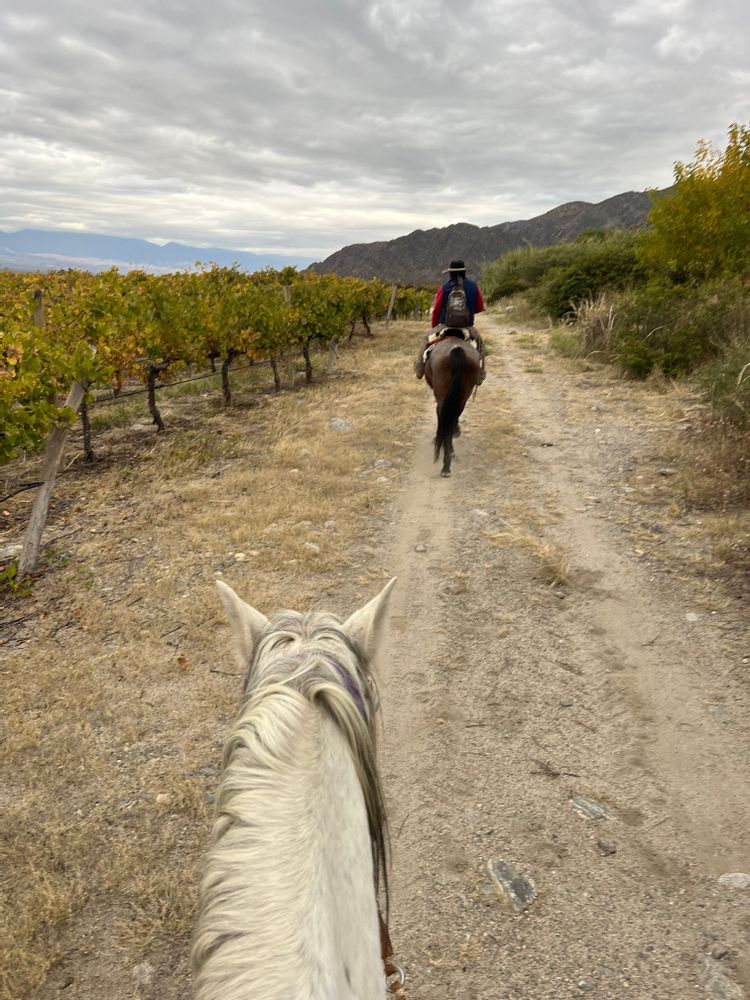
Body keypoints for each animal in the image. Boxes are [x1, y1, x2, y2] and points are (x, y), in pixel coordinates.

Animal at [424, 332, 482, 477]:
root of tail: (457, 350)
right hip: (463, 394)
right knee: (452, 417)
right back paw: (448, 461)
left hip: (441, 393)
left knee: (443, 417)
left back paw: (444, 462)